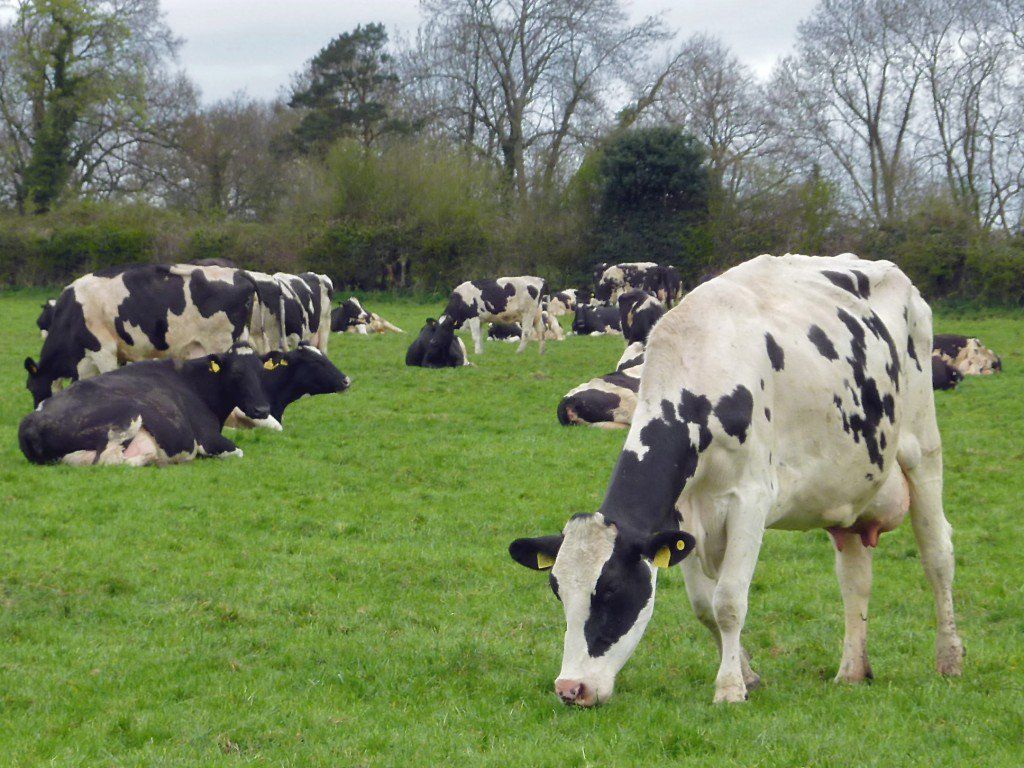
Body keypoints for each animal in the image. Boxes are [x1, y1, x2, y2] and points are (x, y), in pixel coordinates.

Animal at [19, 343, 271, 466]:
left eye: (261, 372)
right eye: (236, 373)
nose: (262, 409)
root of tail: (32, 421)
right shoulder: (209, 440)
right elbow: (238, 452)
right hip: (127, 417)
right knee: (110, 460)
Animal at [509, 253, 963, 708]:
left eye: (613, 591)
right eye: (558, 591)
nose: (571, 688)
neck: (701, 372)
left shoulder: (751, 499)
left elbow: (728, 601)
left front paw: (729, 688)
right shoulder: (681, 515)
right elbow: (703, 605)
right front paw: (747, 675)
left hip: (922, 449)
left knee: (937, 554)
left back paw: (949, 658)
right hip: (848, 492)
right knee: (855, 580)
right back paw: (852, 670)